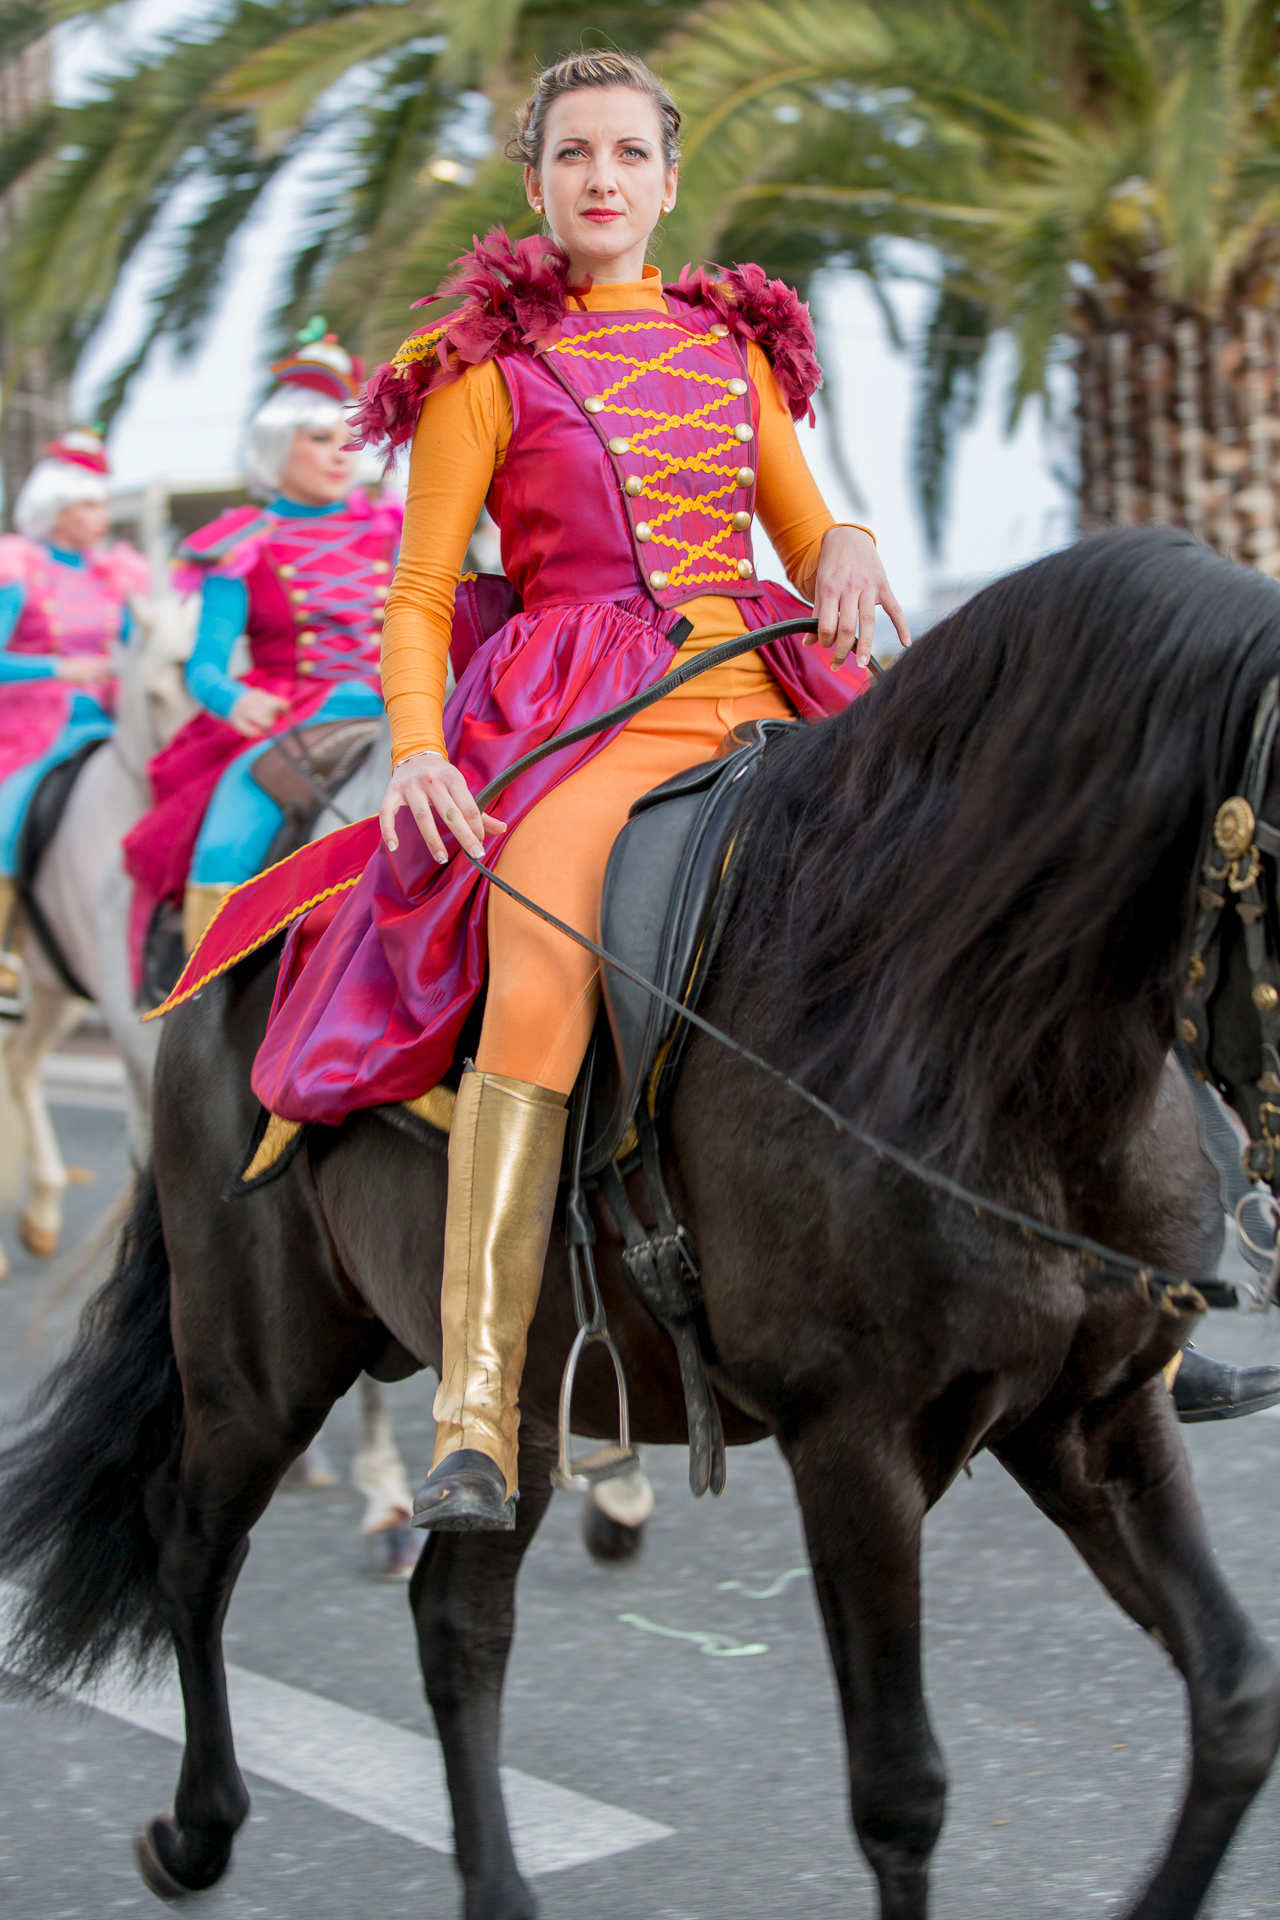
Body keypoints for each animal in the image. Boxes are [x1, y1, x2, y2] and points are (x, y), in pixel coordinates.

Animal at [3, 526, 1278, 1920]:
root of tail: (248, 921)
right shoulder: (854, 1447)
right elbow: (901, 1794)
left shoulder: (1091, 1417)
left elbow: (1235, 1698)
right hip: (257, 1362)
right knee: (190, 1546)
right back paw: (199, 1828)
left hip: (508, 1389)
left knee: (456, 1621)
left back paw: (492, 1881)